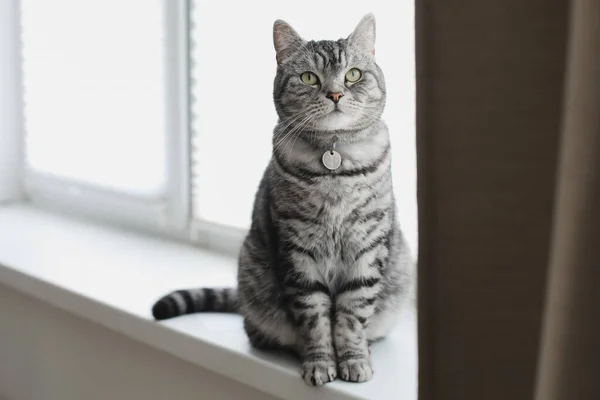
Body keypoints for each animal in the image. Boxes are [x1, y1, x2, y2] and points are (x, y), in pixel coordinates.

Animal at [151, 14, 412, 386]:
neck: (334, 166)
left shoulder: (367, 245)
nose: (335, 93)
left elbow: (351, 314)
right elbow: (315, 318)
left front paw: (354, 359)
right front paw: (320, 363)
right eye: (309, 77)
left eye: (353, 75)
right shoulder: (298, 249)